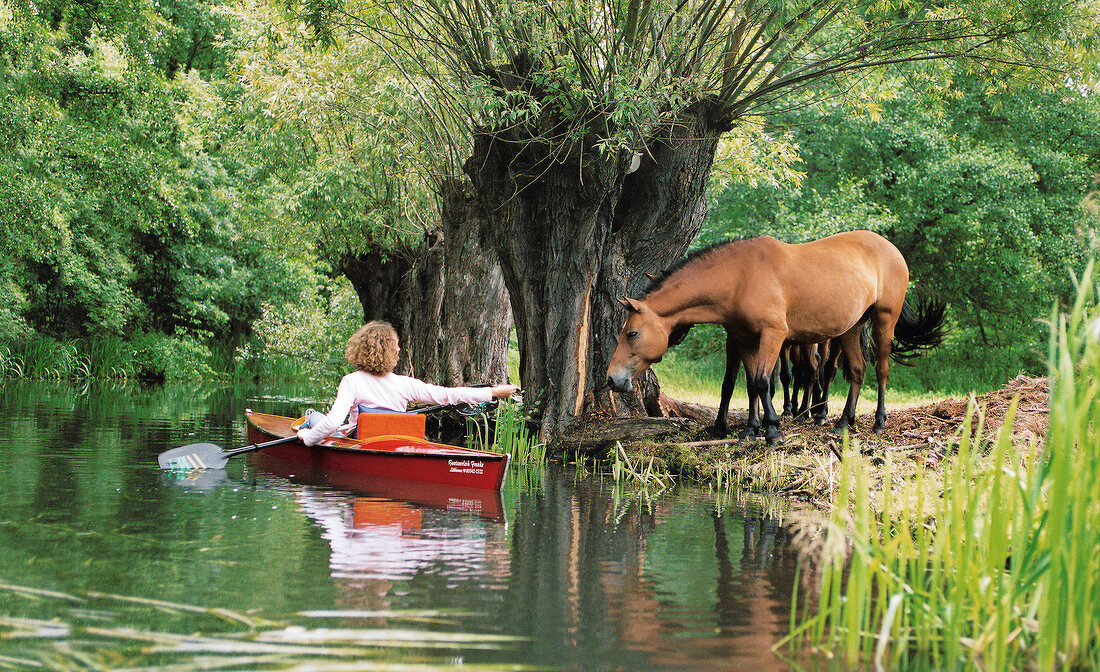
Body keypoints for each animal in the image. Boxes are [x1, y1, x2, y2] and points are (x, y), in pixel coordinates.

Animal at [602, 229, 946, 442]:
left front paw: (772, 431)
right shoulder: (743, 339)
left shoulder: (773, 336)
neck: (739, 276)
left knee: (881, 370)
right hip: (851, 328)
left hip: (884, 320)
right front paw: (752, 429)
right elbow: (749, 384)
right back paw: (843, 422)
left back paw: (877, 421)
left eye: (632, 333)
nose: (611, 379)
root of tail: (891, 249)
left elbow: (763, 382)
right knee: (858, 371)